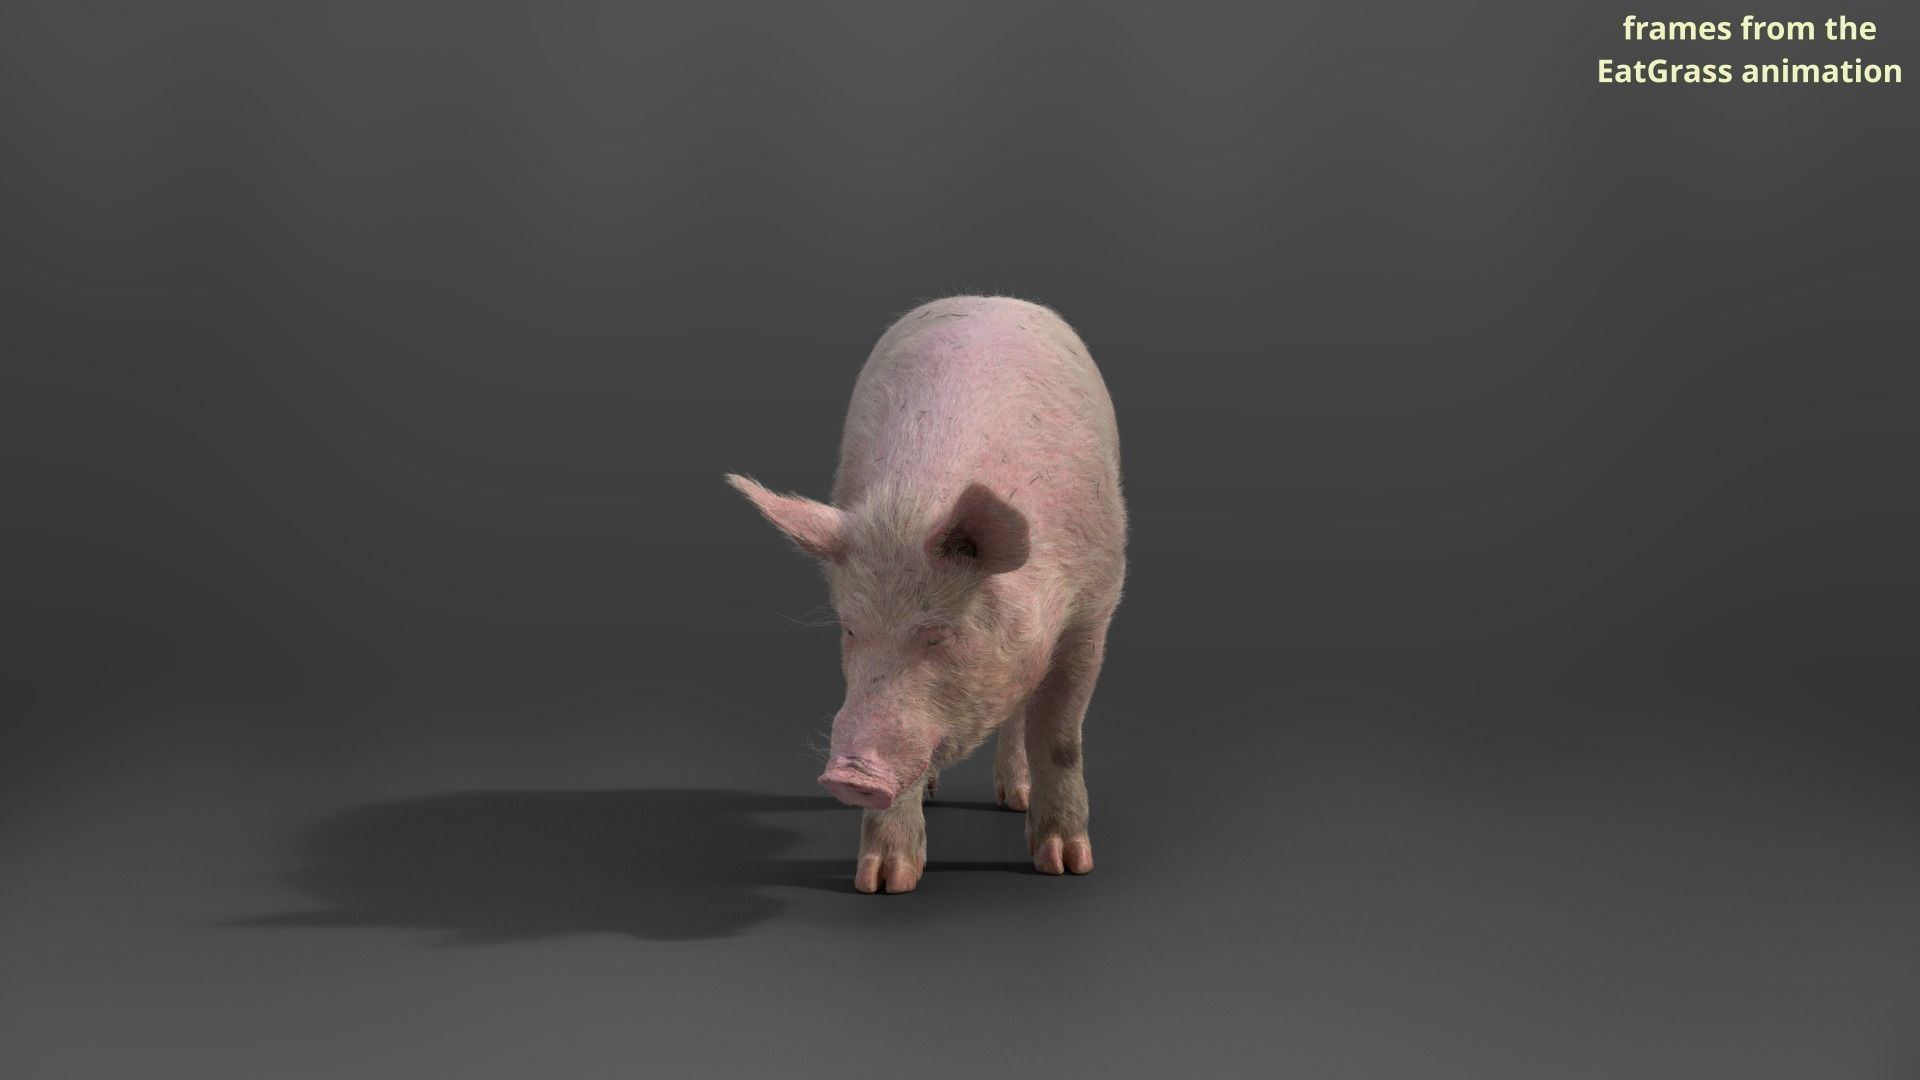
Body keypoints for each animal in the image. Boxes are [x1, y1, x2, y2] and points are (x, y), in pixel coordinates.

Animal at [725, 294, 1127, 893]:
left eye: (939, 636)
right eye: (850, 629)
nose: (847, 775)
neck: (913, 507)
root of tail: (989, 297)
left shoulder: (1095, 607)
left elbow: (1058, 735)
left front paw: (1066, 865)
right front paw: (883, 883)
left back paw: (1014, 800)